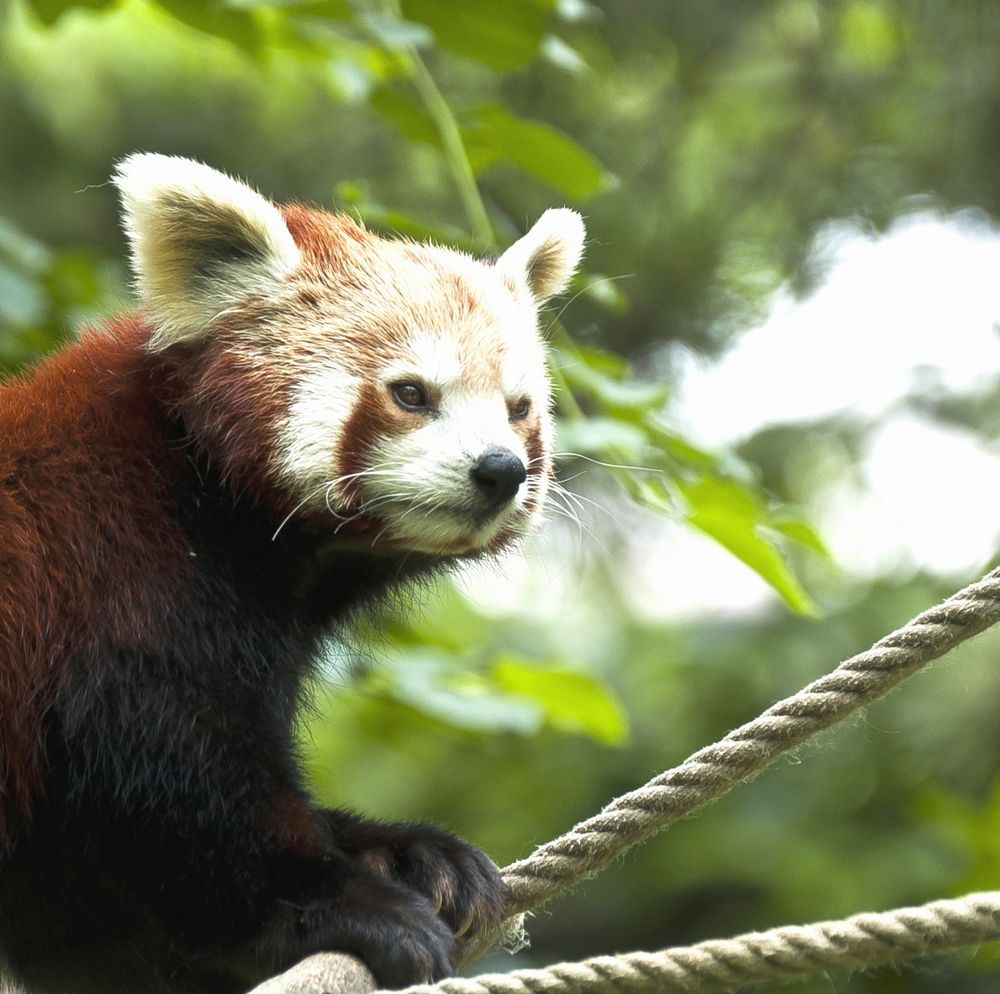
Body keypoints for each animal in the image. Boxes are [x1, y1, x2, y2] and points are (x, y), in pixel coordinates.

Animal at [0, 155, 584, 992]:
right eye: (411, 394)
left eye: (519, 409)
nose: (500, 470)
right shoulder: (116, 569)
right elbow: (180, 780)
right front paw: (341, 904)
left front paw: (407, 852)